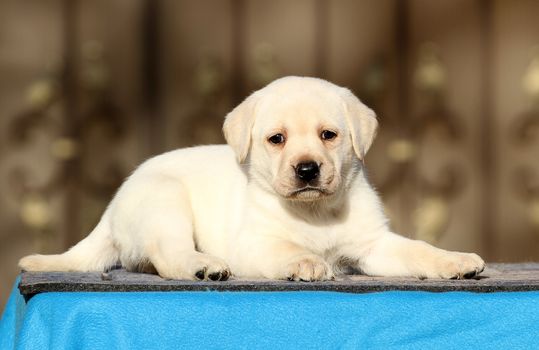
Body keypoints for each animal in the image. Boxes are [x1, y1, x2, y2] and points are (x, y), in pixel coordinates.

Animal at [20, 76, 486, 282]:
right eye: (276, 139)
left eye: (329, 135)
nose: (307, 169)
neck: (316, 212)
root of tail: (113, 206)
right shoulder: (252, 245)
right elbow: (285, 249)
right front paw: (305, 262)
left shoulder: (373, 245)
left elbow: (418, 250)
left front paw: (455, 261)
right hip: (164, 201)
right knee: (168, 255)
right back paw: (203, 266)